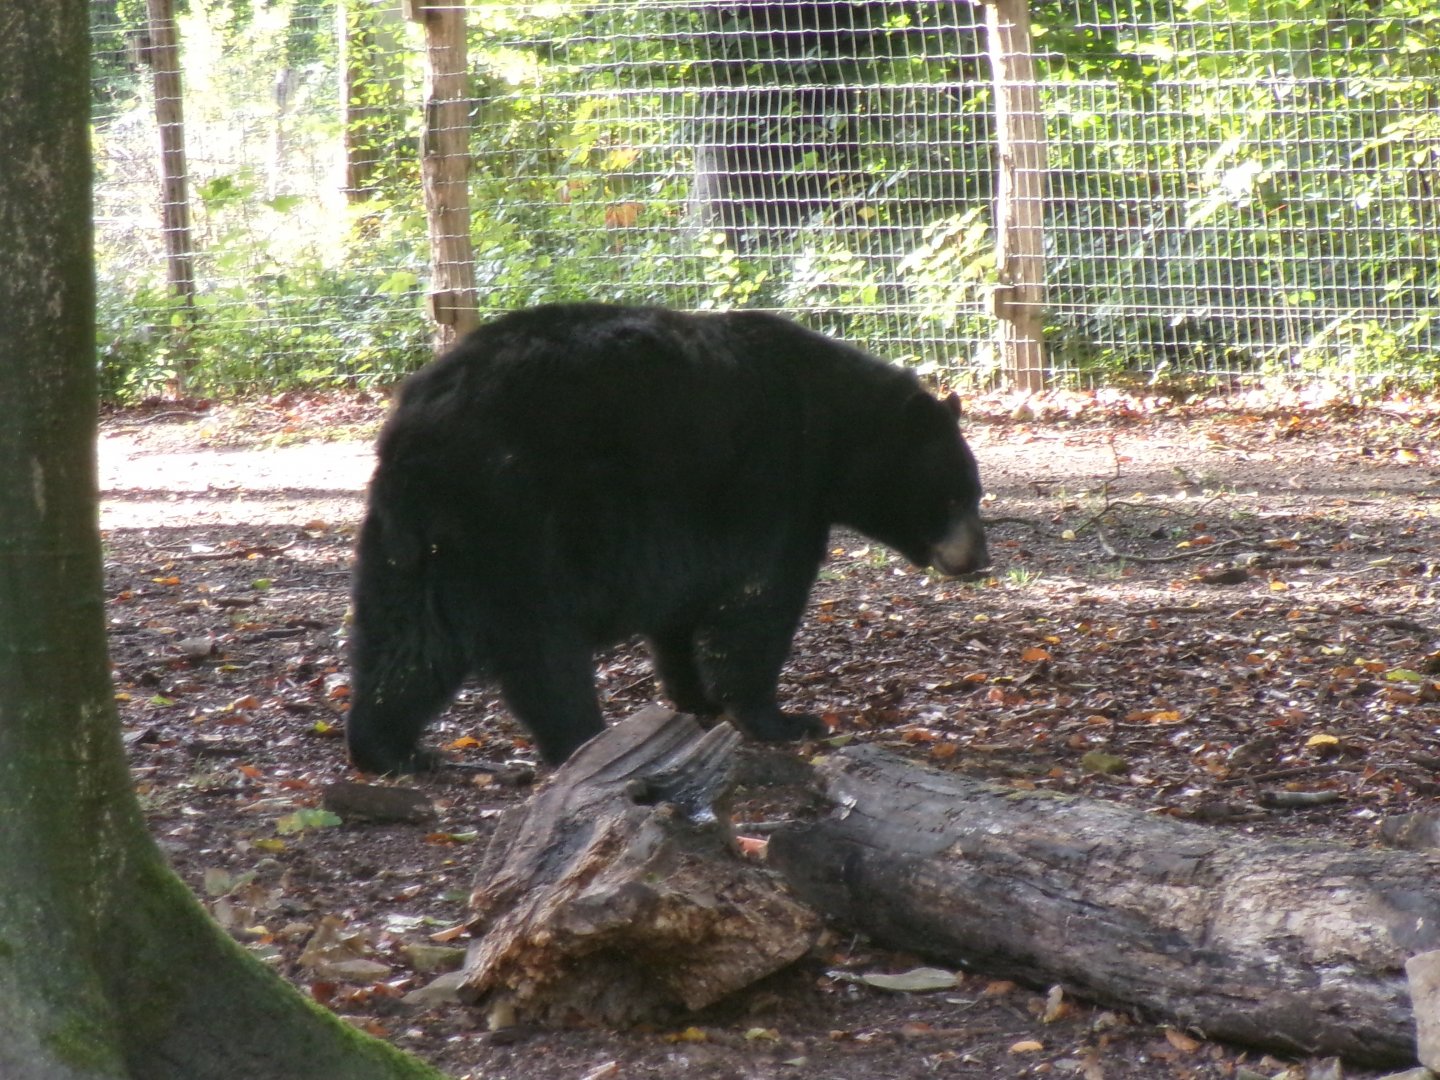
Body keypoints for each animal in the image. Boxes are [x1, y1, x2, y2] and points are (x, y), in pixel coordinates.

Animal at [346, 302, 988, 774]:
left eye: (974, 494)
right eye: (956, 497)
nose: (980, 558)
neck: (833, 427)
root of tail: (421, 421)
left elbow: (681, 618)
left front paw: (695, 698)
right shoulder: (775, 485)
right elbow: (758, 605)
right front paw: (781, 719)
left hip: (420, 535)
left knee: (404, 638)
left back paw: (390, 749)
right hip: (516, 513)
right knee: (539, 641)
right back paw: (584, 739)